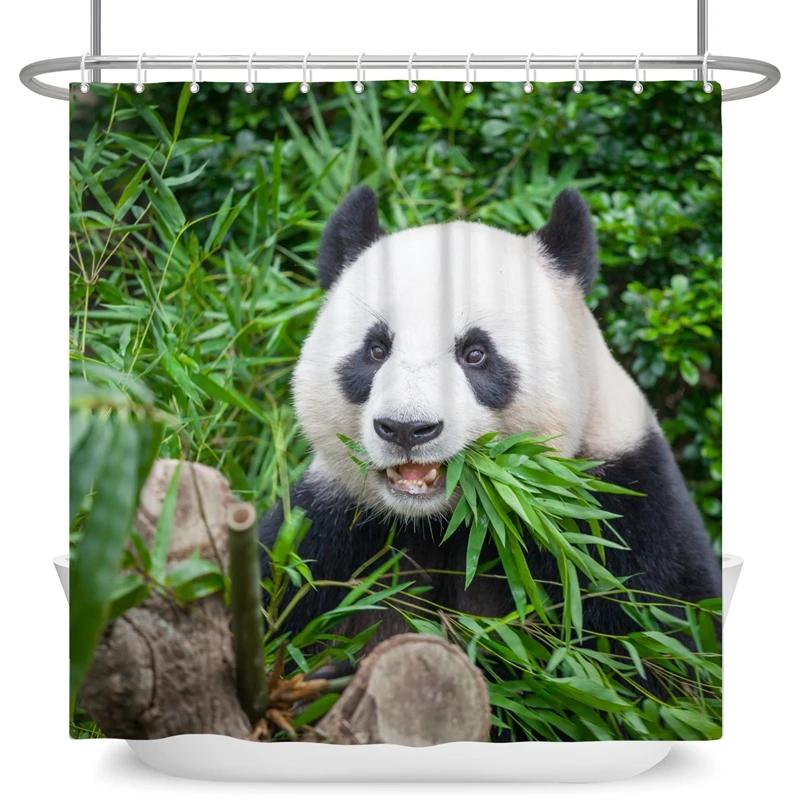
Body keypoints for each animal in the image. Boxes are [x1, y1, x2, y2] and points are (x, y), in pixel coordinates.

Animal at [259, 185, 721, 644]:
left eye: (476, 354)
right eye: (375, 350)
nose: (407, 428)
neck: (449, 521)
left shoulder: (618, 509)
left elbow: (655, 622)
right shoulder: (329, 529)